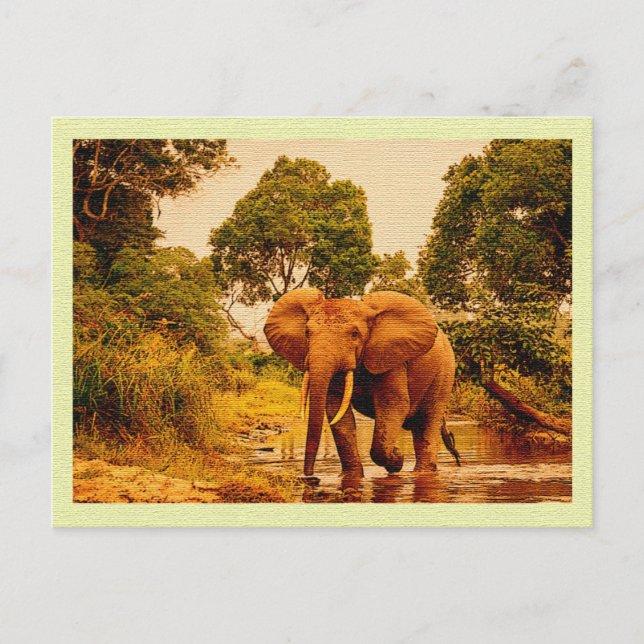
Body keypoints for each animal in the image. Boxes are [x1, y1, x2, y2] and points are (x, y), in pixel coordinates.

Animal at [263, 288, 460, 481]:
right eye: (307, 333)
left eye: (354, 334)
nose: (310, 477)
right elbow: (337, 412)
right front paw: (351, 477)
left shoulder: (391, 358)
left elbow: (394, 404)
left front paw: (397, 458)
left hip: (445, 372)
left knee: (428, 421)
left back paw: (422, 474)